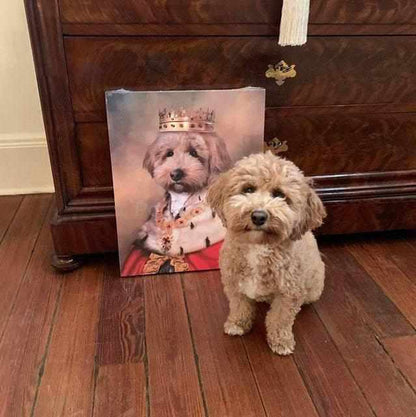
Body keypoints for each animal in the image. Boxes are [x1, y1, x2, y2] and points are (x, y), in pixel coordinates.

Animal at [206, 151, 326, 352]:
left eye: (280, 195)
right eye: (248, 189)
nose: (258, 216)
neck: (258, 246)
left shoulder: (289, 294)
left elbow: (280, 319)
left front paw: (281, 341)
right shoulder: (234, 285)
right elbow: (240, 307)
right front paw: (237, 324)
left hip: (312, 289)